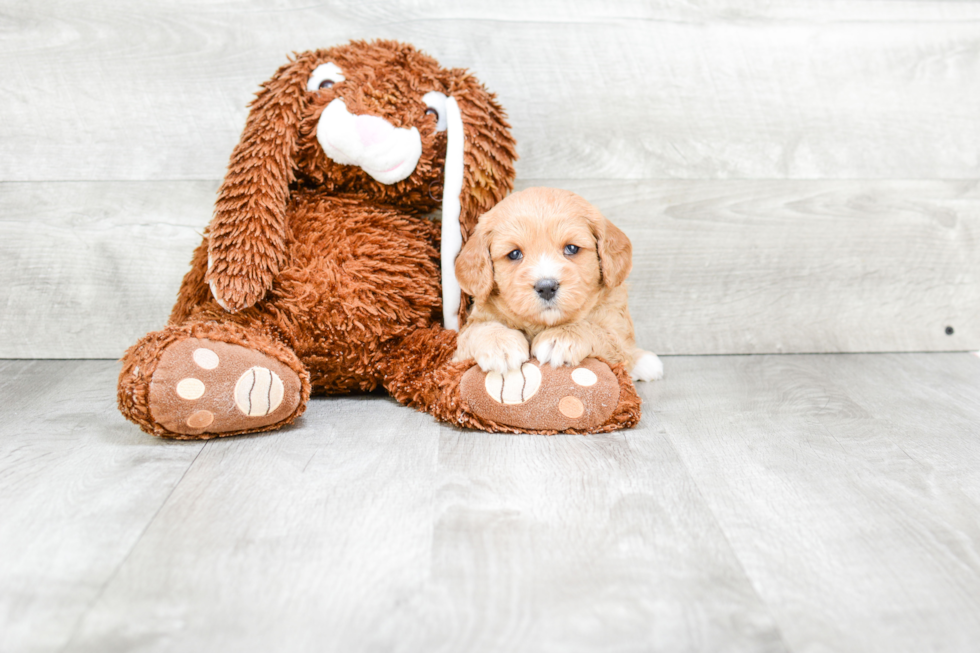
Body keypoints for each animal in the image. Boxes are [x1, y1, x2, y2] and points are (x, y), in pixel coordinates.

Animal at [456, 186, 664, 380]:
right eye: (514, 254)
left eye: (571, 248)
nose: (546, 287)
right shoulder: (461, 347)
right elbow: (477, 330)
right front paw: (500, 344)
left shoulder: (616, 328)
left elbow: (601, 331)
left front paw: (560, 338)